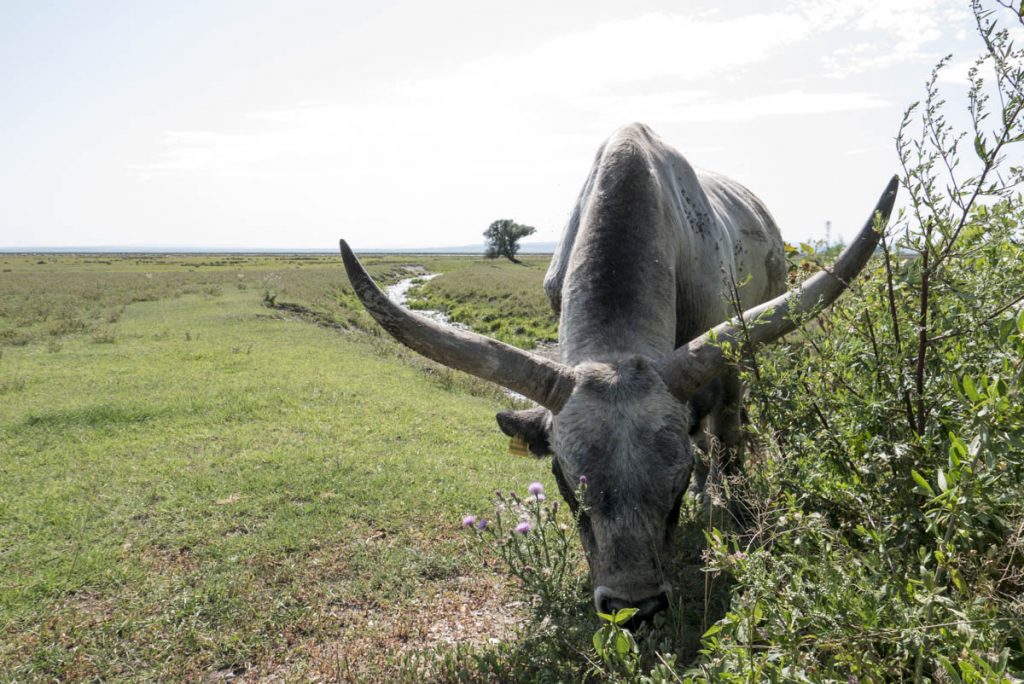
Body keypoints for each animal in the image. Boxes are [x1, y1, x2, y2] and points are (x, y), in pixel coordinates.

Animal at [337, 121, 897, 618]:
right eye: (567, 483)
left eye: (674, 485)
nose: (635, 608)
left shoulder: (730, 350)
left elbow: (726, 437)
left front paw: (731, 512)